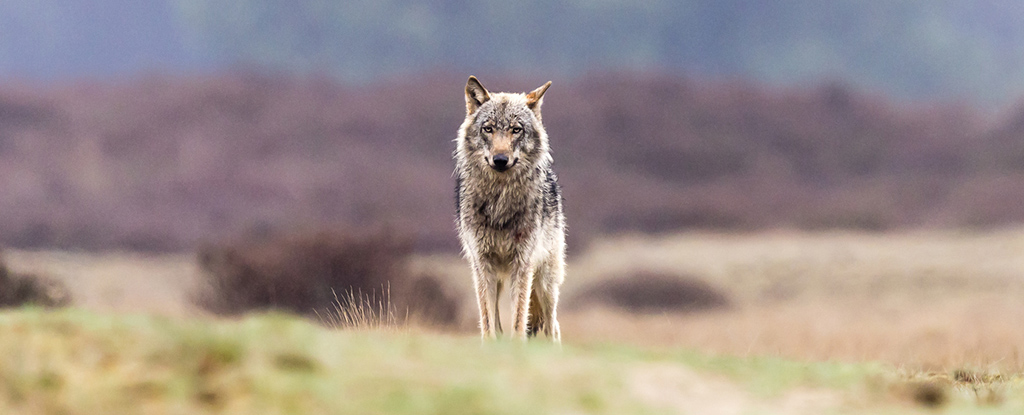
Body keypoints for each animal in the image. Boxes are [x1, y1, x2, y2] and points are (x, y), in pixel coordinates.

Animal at [456, 75, 569, 340]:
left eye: (516, 129)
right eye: (488, 129)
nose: (500, 160)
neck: (500, 202)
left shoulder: (523, 264)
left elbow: (519, 320)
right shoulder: (482, 265)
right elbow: (488, 323)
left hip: (545, 283)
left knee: (553, 326)